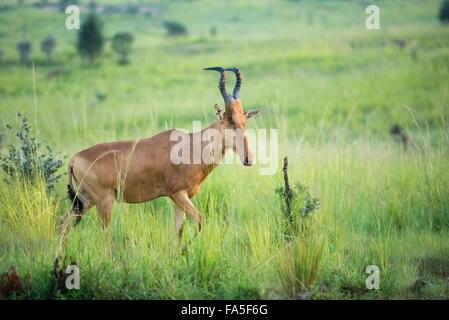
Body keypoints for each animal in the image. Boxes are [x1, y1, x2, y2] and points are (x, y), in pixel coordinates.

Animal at [61, 67, 260, 248]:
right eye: (231, 121)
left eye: (244, 121)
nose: (248, 159)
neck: (191, 145)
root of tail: (74, 159)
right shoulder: (177, 194)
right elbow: (199, 220)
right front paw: (184, 251)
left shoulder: (181, 198)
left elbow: (178, 230)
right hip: (103, 201)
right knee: (105, 234)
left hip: (85, 200)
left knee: (64, 223)